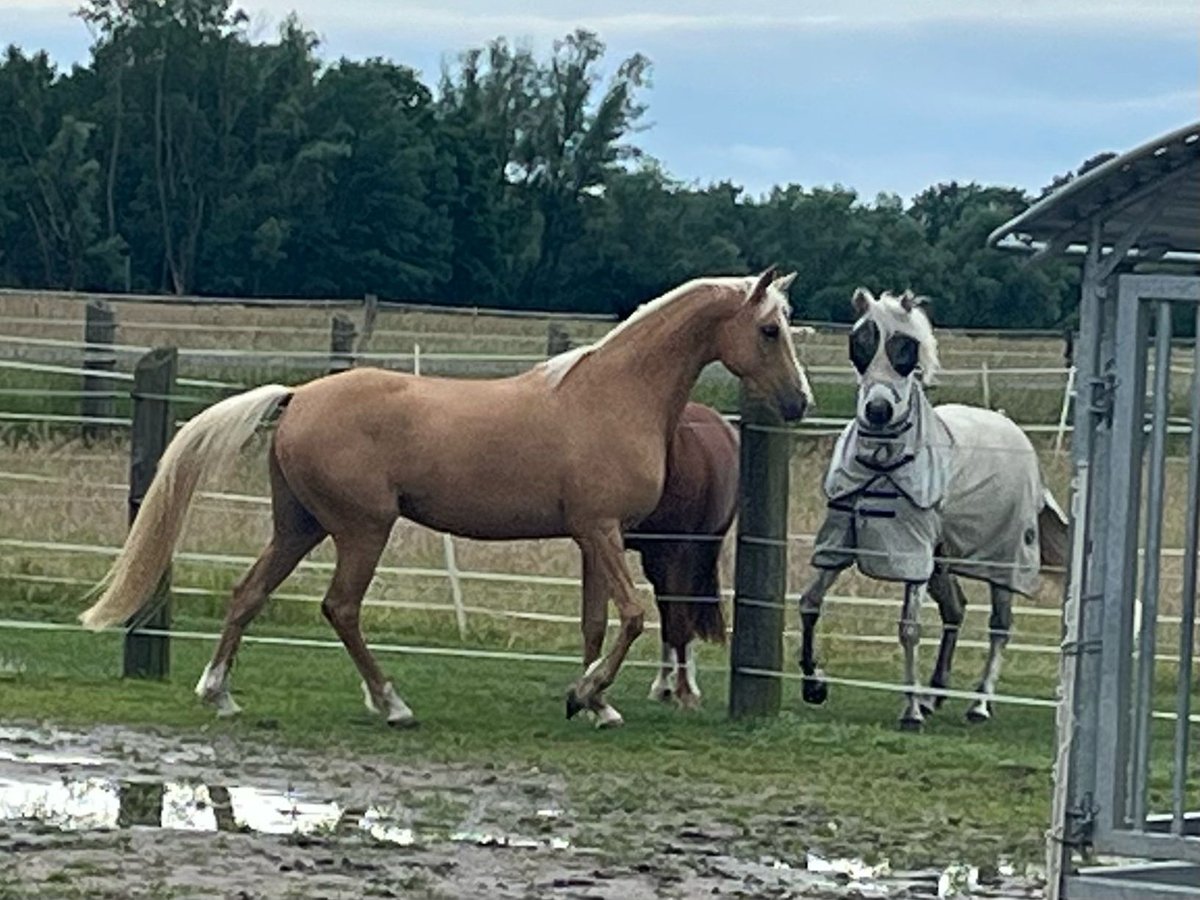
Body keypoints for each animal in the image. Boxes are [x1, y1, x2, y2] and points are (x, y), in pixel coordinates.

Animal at [628, 403, 739, 710]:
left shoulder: (679, 552)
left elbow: (680, 622)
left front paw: (687, 692)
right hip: (656, 560)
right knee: (669, 610)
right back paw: (663, 685)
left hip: (697, 553)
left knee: (682, 611)